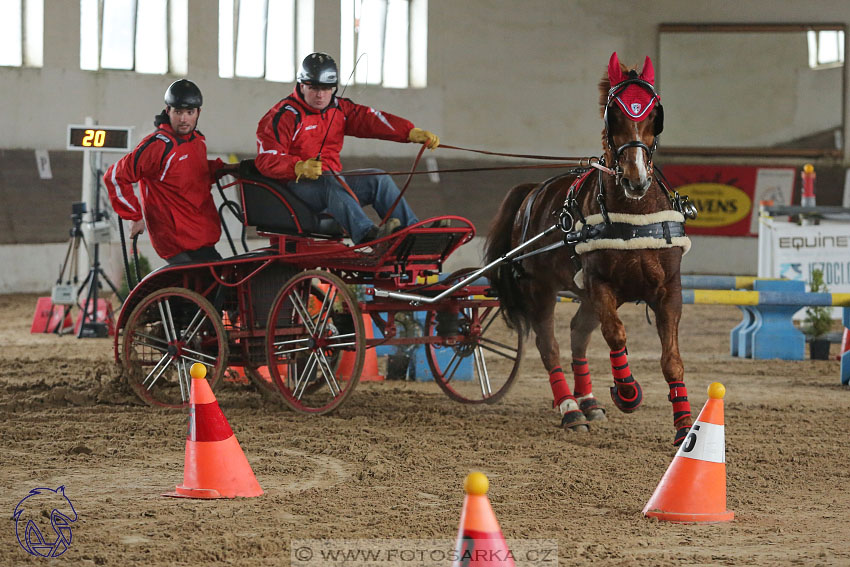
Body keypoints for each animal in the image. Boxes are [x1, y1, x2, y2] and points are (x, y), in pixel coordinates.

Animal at [486, 52, 692, 444]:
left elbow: (672, 360)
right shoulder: (600, 286)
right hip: (541, 288)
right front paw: (627, 392)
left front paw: (686, 428)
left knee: (578, 335)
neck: (634, 213)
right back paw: (569, 408)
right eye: (615, 114)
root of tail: (532, 193)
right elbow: (616, 335)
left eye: (654, 114)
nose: (635, 178)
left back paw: (588, 402)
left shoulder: (669, 289)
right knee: (549, 345)